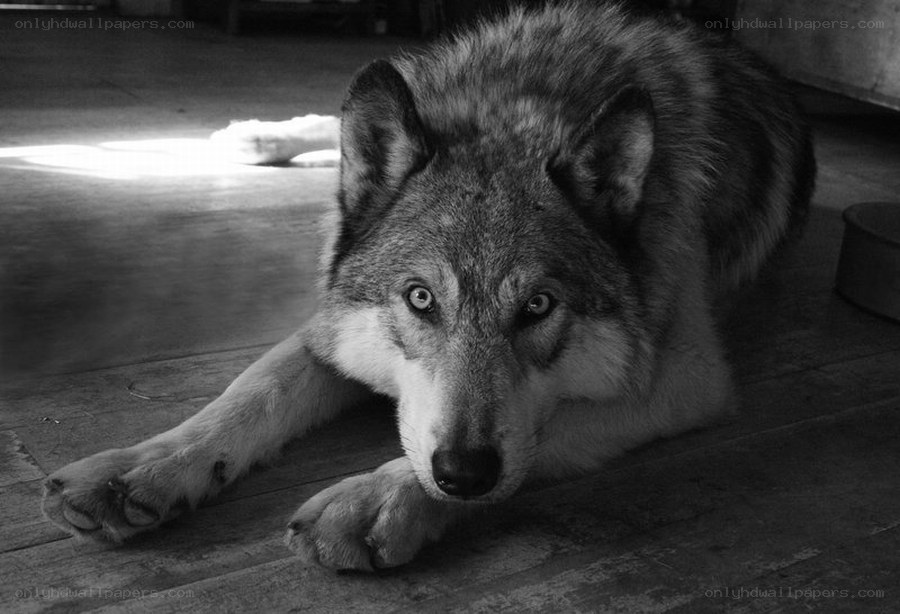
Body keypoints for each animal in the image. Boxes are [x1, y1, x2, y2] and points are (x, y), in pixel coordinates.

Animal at [42, 1, 815, 571]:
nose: (464, 474)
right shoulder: (330, 322)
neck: (523, 107)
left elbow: (543, 431)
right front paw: (140, 471)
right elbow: (249, 393)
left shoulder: (686, 377)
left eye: (538, 307)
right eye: (420, 298)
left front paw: (378, 501)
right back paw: (260, 138)